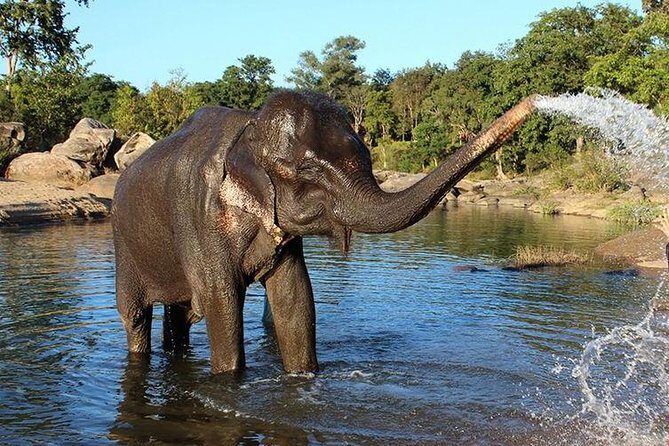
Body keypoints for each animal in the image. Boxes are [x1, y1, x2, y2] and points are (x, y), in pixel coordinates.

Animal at [111, 90, 537, 374]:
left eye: (368, 157)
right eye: (309, 171)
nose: (535, 102)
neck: (249, 128)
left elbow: (295, 298)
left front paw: (304, 378)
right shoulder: (200, 216)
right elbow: (221, 300)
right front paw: (231, 379)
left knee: (180, 313)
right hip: (124, 245)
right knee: (136, 316)